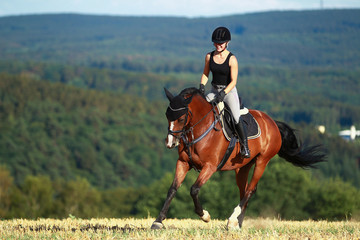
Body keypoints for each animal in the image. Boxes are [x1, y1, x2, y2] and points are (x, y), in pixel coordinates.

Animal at [150, 87, 324, 230]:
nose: (170, 143)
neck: (199, 130)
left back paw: (232, 220)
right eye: (166, 116)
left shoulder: (210, 166)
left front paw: (205, 215)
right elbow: (172, 189)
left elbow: (194, 189)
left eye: (181, 118)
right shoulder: (183, 163)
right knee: (244, 190)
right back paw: (237, 223)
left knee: (250, 190)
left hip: (262, 161)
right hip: (243, 167)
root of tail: (272, 122)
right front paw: (158, 221)